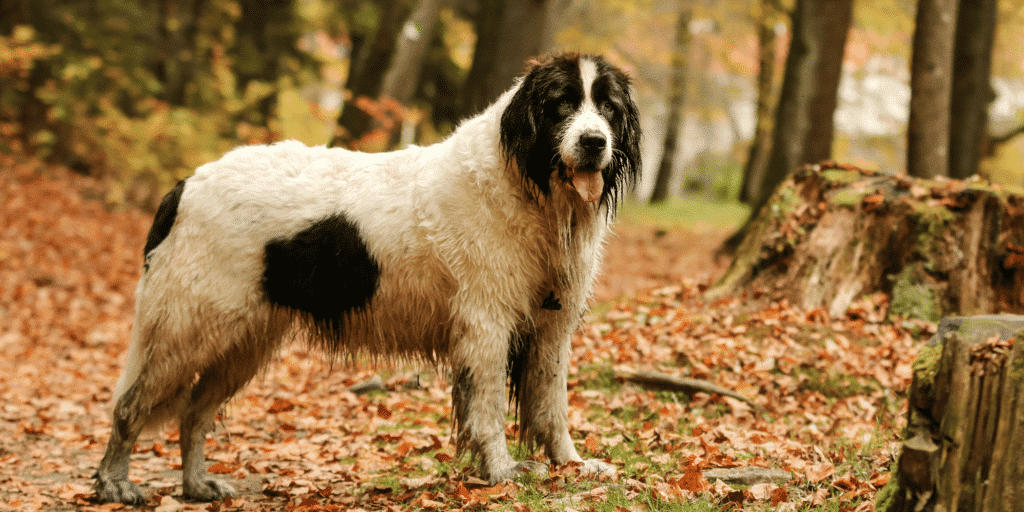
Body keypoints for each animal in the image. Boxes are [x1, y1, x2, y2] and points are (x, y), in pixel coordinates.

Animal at [94, 52, 638, 503]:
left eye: (608, 109)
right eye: (561, 105)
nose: (594, 143)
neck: (528, 185)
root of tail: (185, 184)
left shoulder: (551, 326)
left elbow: (552, 405)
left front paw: (571, 465)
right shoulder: (485, 323)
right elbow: (487, 410)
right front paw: (503, 472)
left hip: (242, 340)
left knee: (192, 413)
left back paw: (196, 485)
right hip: (187, 328)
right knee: (130, 405)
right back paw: (115, 484)